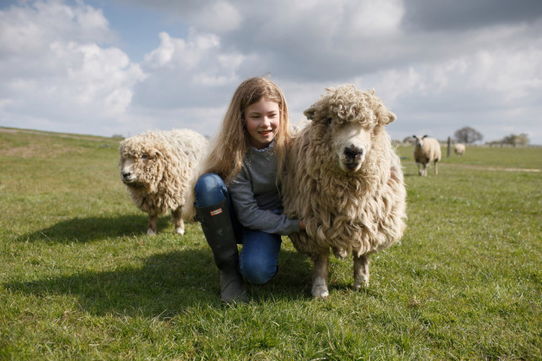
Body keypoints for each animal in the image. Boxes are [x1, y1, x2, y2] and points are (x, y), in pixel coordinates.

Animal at [284, 85, 408, 298]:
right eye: (329, 120)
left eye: (373, 124)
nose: (353, 151)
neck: (349, 194)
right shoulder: (314, 223)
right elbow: (321, 258)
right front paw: (320, 289)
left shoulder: (370, 222)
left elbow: (362, 255)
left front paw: (361, 283)